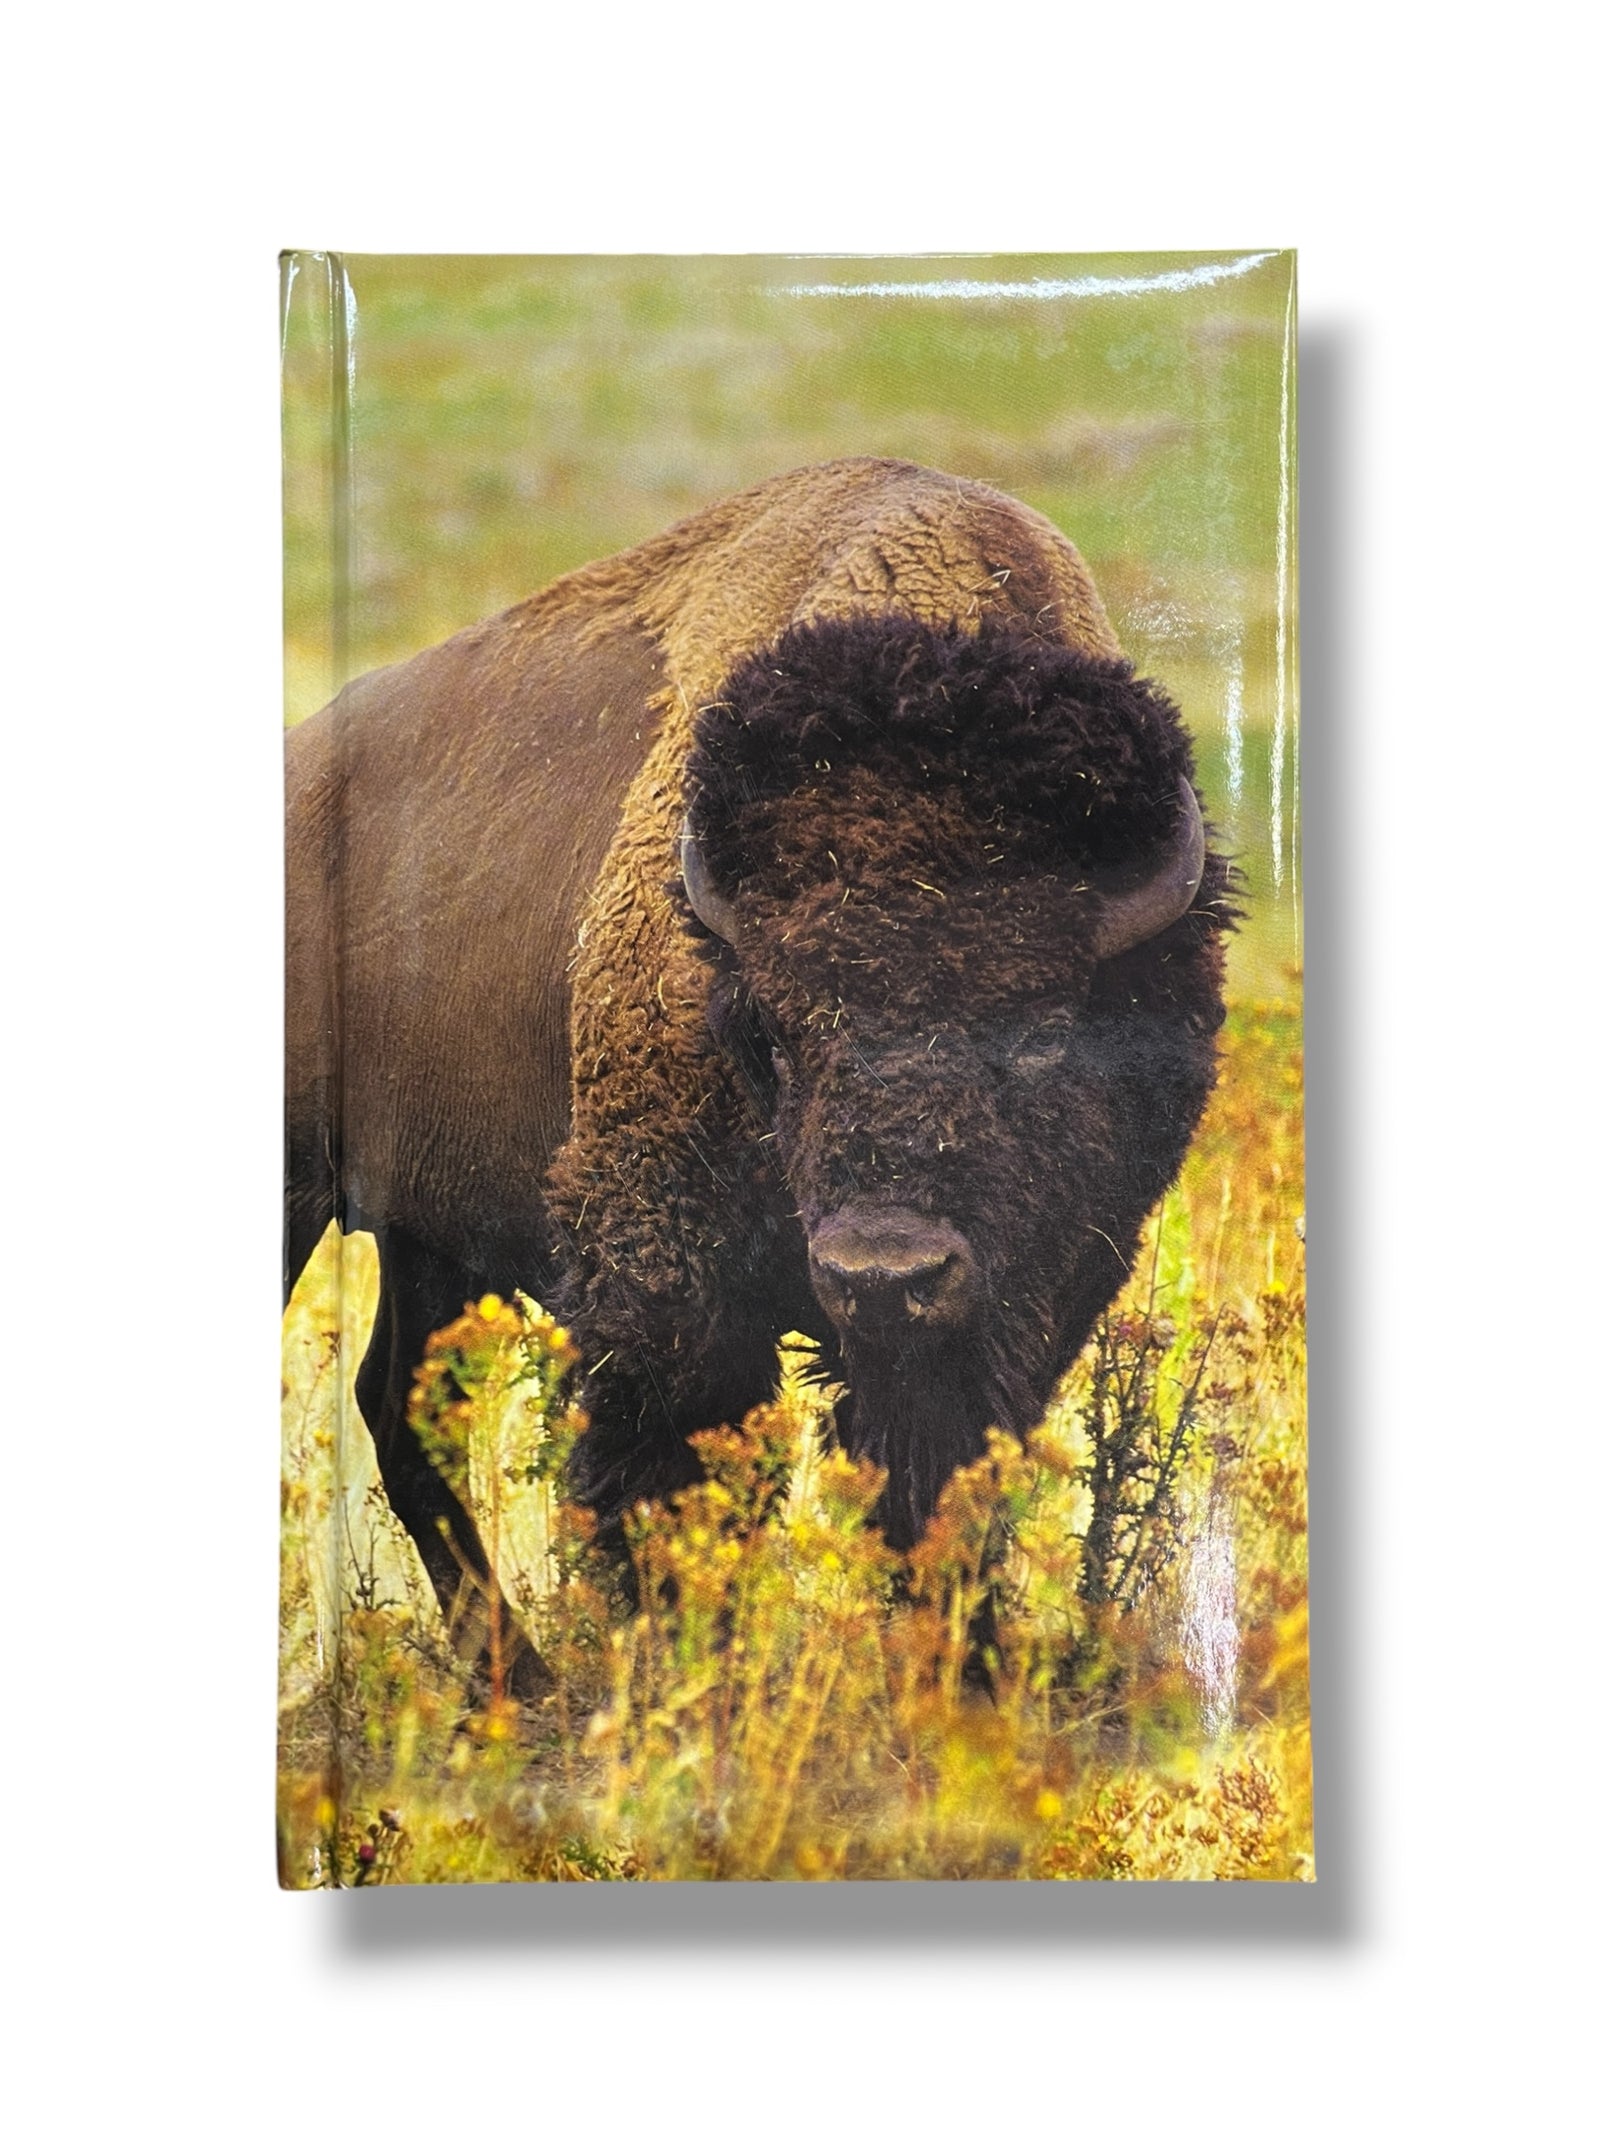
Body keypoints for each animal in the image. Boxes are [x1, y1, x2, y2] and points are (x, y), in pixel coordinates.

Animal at [285, 456, 1232, 1697]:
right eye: (776, 1037)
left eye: (1038, 1033)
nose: (881, 1272)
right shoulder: (665, 1275)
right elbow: (673, 1473)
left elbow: (941, 1478)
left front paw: (960, 1679)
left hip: (425, 1235)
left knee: (396, 1403)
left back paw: (520, 1675)